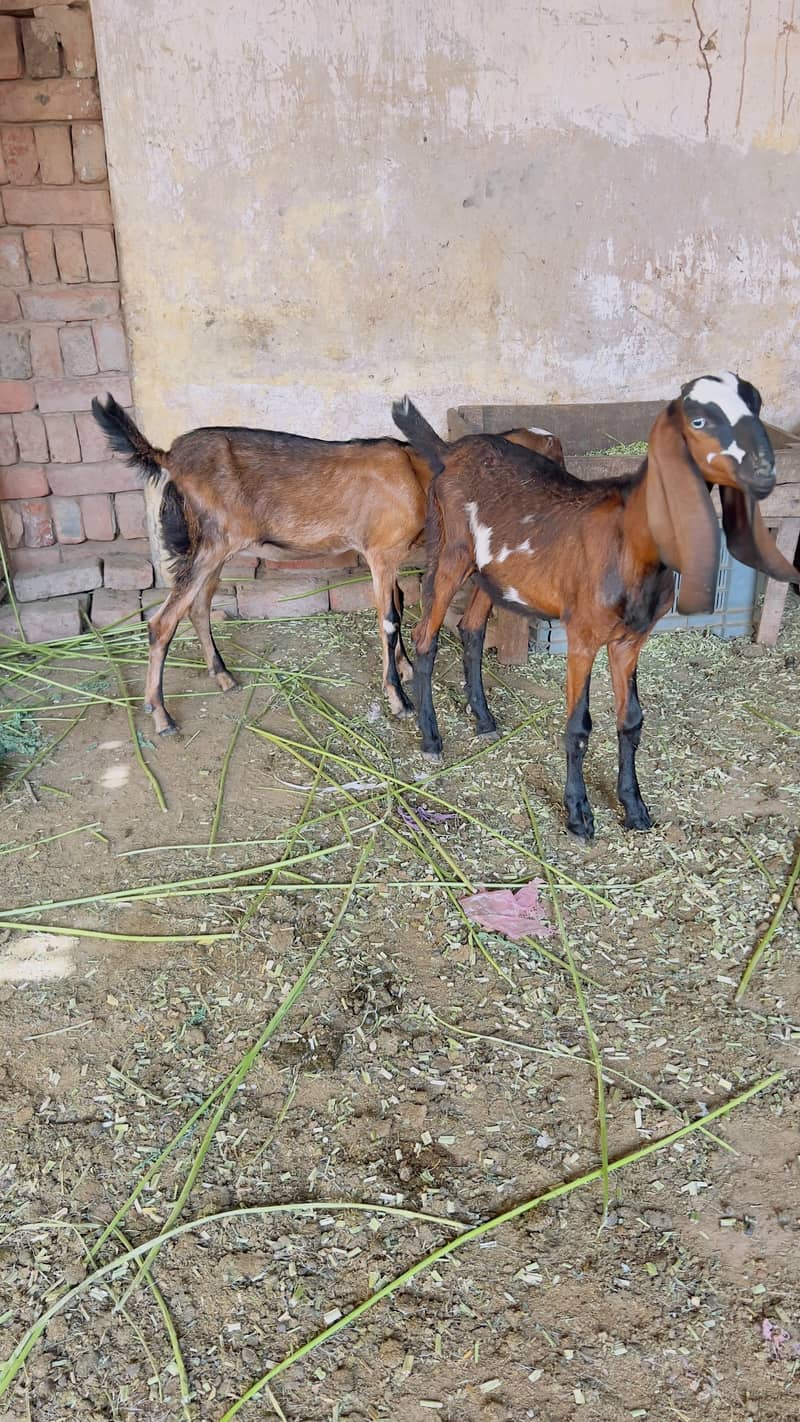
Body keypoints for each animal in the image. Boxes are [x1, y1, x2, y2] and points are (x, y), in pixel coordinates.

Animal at [91, 394, 561, 735]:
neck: (417, 472)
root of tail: (167, 455)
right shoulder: (381, 552)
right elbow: (389, 618)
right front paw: (398, 699)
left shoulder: (387, 555)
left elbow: (397, 603)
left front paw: (404, 669)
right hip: (212, 545)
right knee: (162, 622)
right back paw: (161, 715)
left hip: (212, 548)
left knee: (198, 606)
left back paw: (222, 675)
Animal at [393, 373, 799, 840]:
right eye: (699, 420)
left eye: (756, 406)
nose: (764, 472)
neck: (632, 544)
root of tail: (450, 450)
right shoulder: (583, 635)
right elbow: (578, 725)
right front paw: (579, 814)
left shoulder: (630, 641)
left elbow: (632, 720)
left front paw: (635, 808)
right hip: (451, 551)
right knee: (425, 636)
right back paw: (431, 739)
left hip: (490, 571)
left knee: (471, 627)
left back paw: (484, 719)